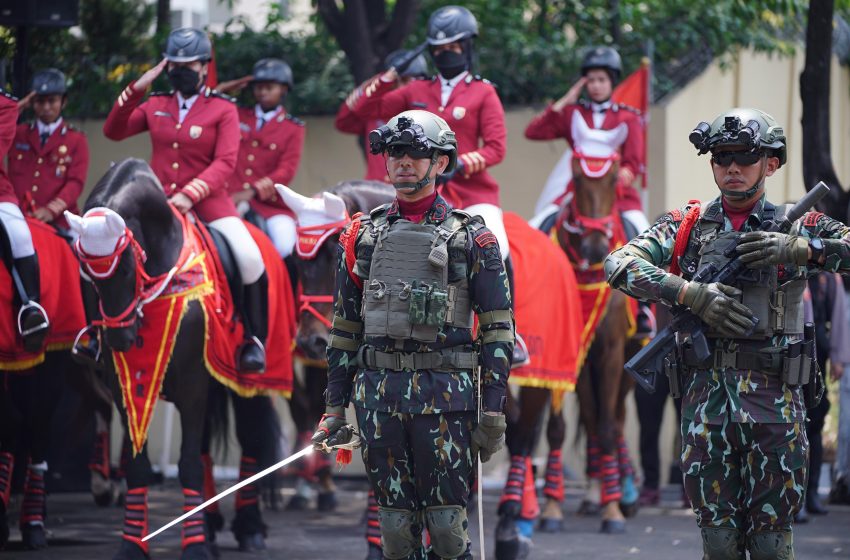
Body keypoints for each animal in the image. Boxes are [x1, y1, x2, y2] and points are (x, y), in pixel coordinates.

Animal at [67, 159, 292, 560]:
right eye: (88, 275)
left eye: (128, 267)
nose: (120, 338)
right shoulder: (125, 387)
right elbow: (139, 467)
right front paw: (132, 546)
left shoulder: (191, 388)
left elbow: (187, 465)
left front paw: (196, 548)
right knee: (204, 449)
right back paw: (211, 526)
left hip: (251, 380)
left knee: (250, 439)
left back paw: (250, 528)